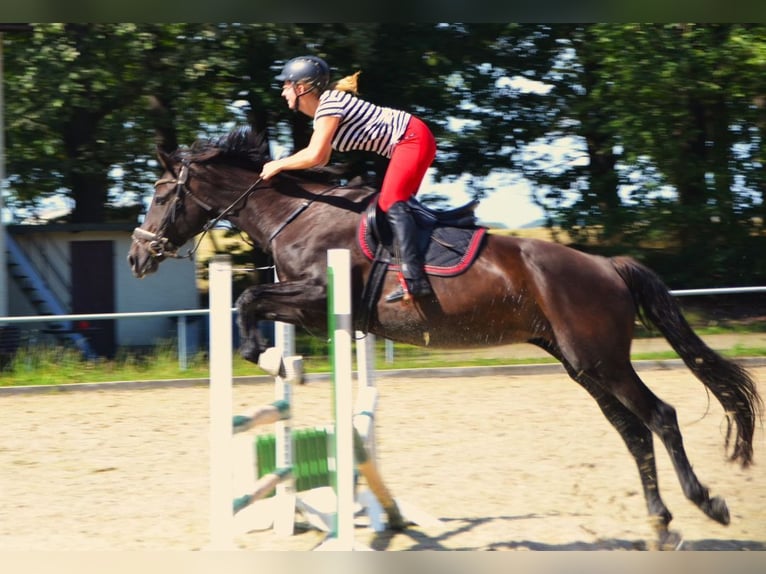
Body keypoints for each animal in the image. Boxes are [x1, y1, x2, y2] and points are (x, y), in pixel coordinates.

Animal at [129, 126, 764, 548]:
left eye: (160, 193)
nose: (137, 257)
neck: (301, 215)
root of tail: (608, 266)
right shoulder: (309, 306)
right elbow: (251, 303)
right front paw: (279, 362)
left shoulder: (316, 296)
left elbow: (247, 302)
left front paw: (275, 363)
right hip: (580, 364)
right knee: (632, 431)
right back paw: (659, 522)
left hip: (603, 360)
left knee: (660, 416)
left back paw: (705, 504)